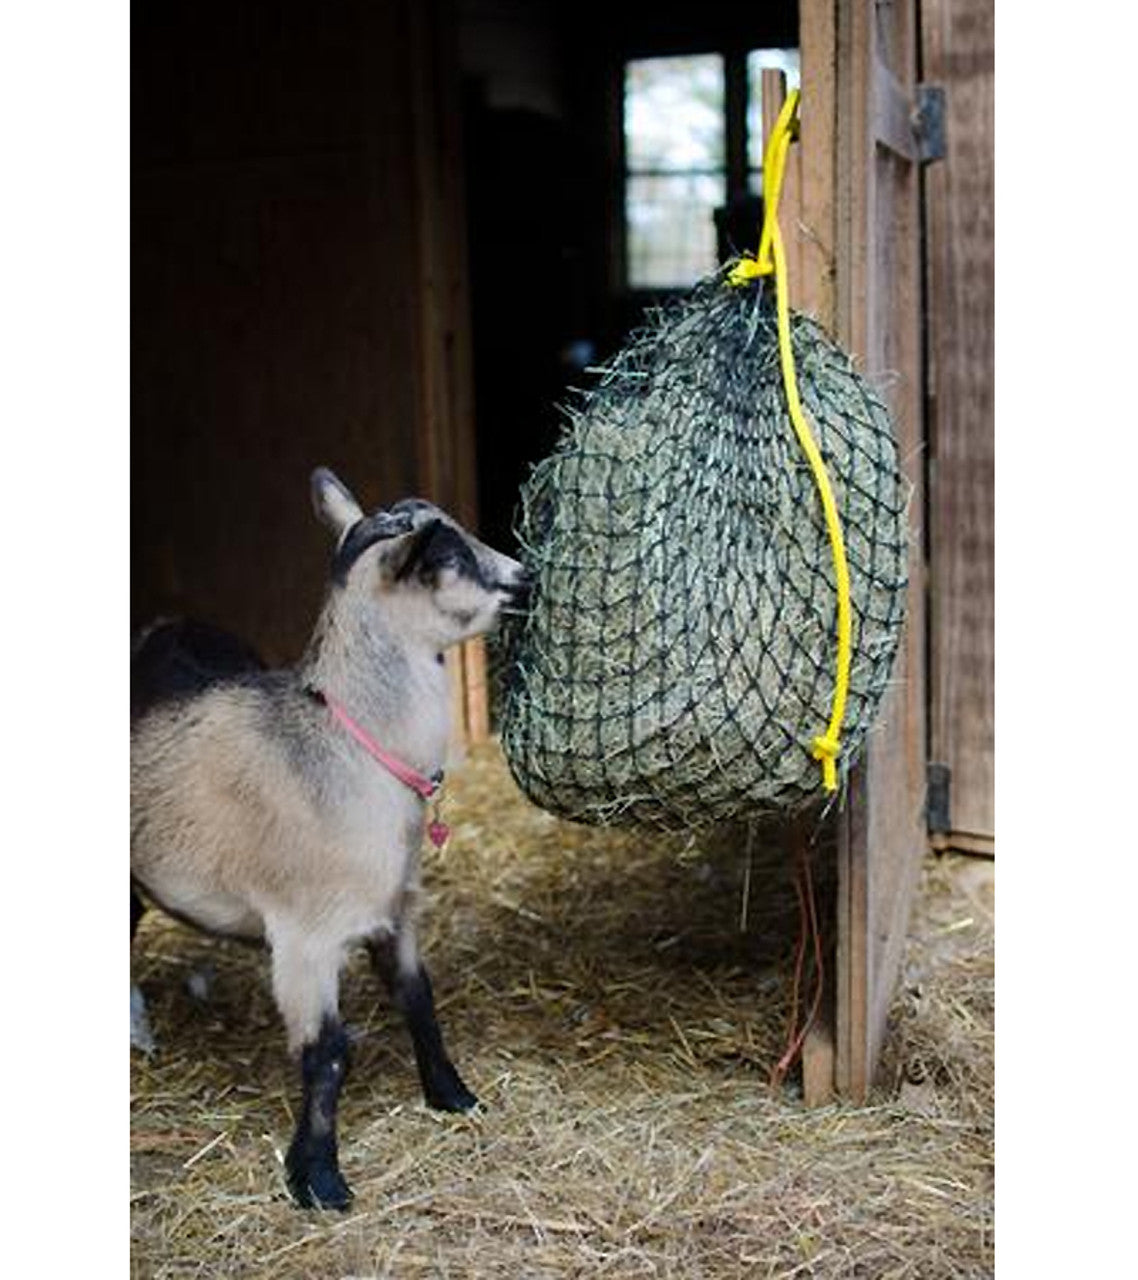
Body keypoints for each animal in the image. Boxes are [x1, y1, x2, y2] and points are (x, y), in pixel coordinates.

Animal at [130, 468, 528, 1209]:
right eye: (446, 556)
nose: (526, 576)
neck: (352, 751)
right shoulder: (303, 938)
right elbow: (328, 1053)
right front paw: (317, 1178)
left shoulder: (394, 911)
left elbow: (419, 1002)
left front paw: (454, 1096)